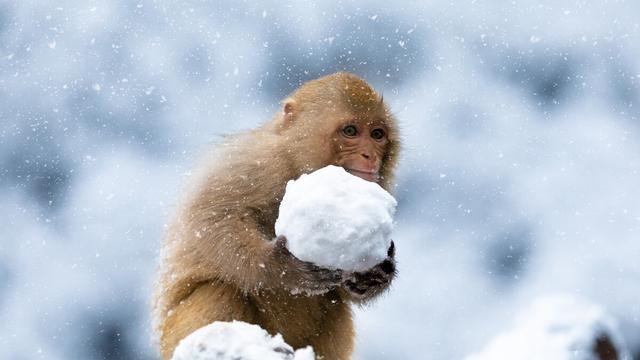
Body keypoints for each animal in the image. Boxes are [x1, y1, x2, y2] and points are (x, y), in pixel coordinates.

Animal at [154, 71, 400, 358]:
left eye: (377, 134)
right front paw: (281, 266)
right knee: (219, 291)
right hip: (174, 338)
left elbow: (345, 288)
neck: (296, 165)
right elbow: (211, 219)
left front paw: (374, 273)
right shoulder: (254, 163)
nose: (369, 155)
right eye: (350, 131)